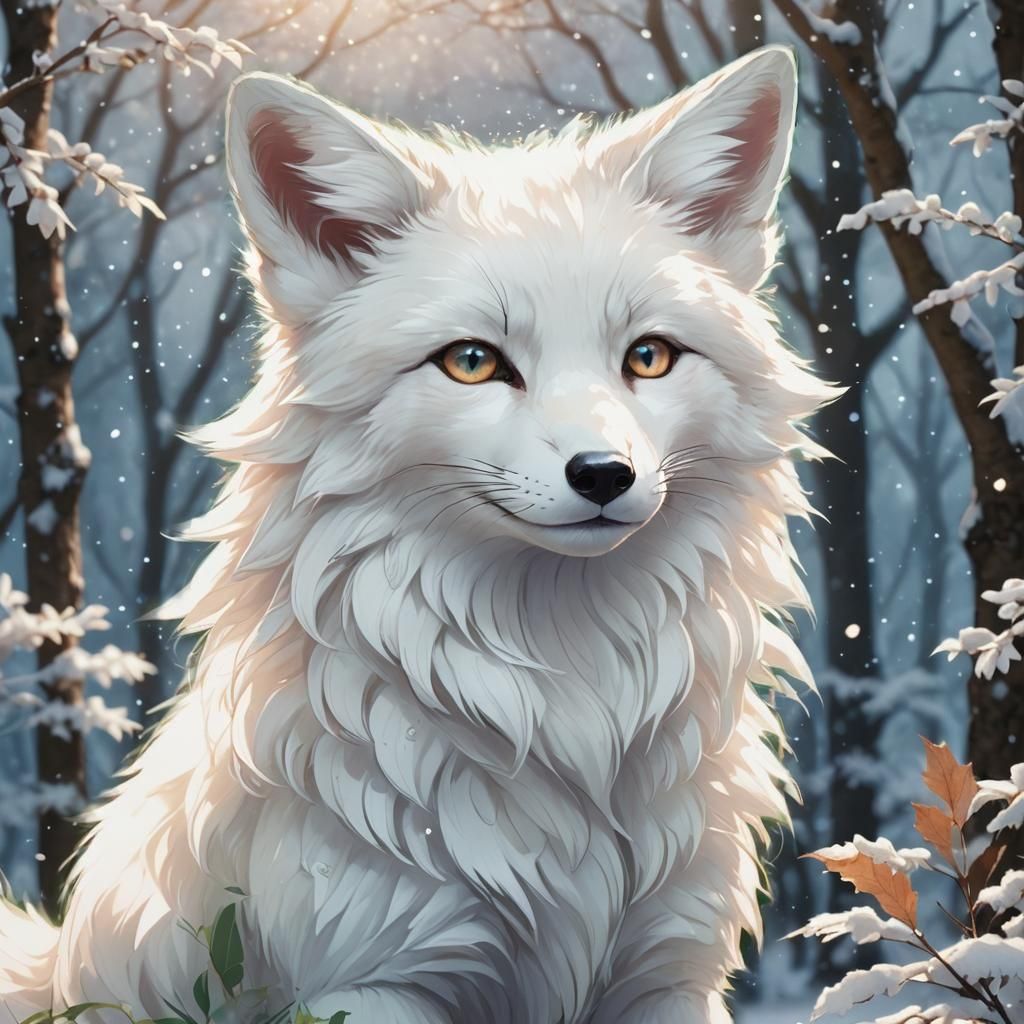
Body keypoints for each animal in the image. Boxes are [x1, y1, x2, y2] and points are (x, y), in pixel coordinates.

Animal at [0, 45, 831, 1024]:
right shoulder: (375, 978)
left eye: (649, 356)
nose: (604, 475)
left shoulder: (670, 975)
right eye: (472, 362)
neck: (564, 701)